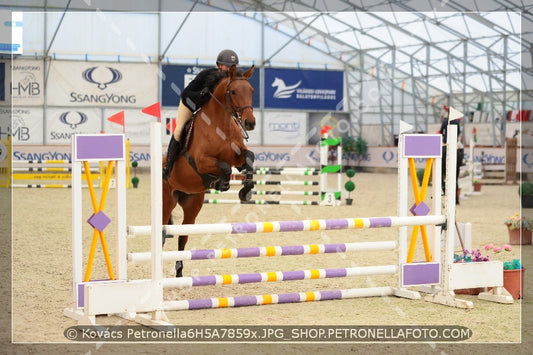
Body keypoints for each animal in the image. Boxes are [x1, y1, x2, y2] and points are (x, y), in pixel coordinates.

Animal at [161, 65, 255, 280]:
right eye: (233, 91)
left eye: (252, 91)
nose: (250, 123)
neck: (221, 125)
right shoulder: (202, 162)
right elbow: (225, 167)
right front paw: (222, 183)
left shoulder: (238, 156)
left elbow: (249, 159)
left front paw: (246, 191)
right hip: (166, 201)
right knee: (161, 233)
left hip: (192, 204)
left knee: (183, 236)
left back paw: (179, 274)